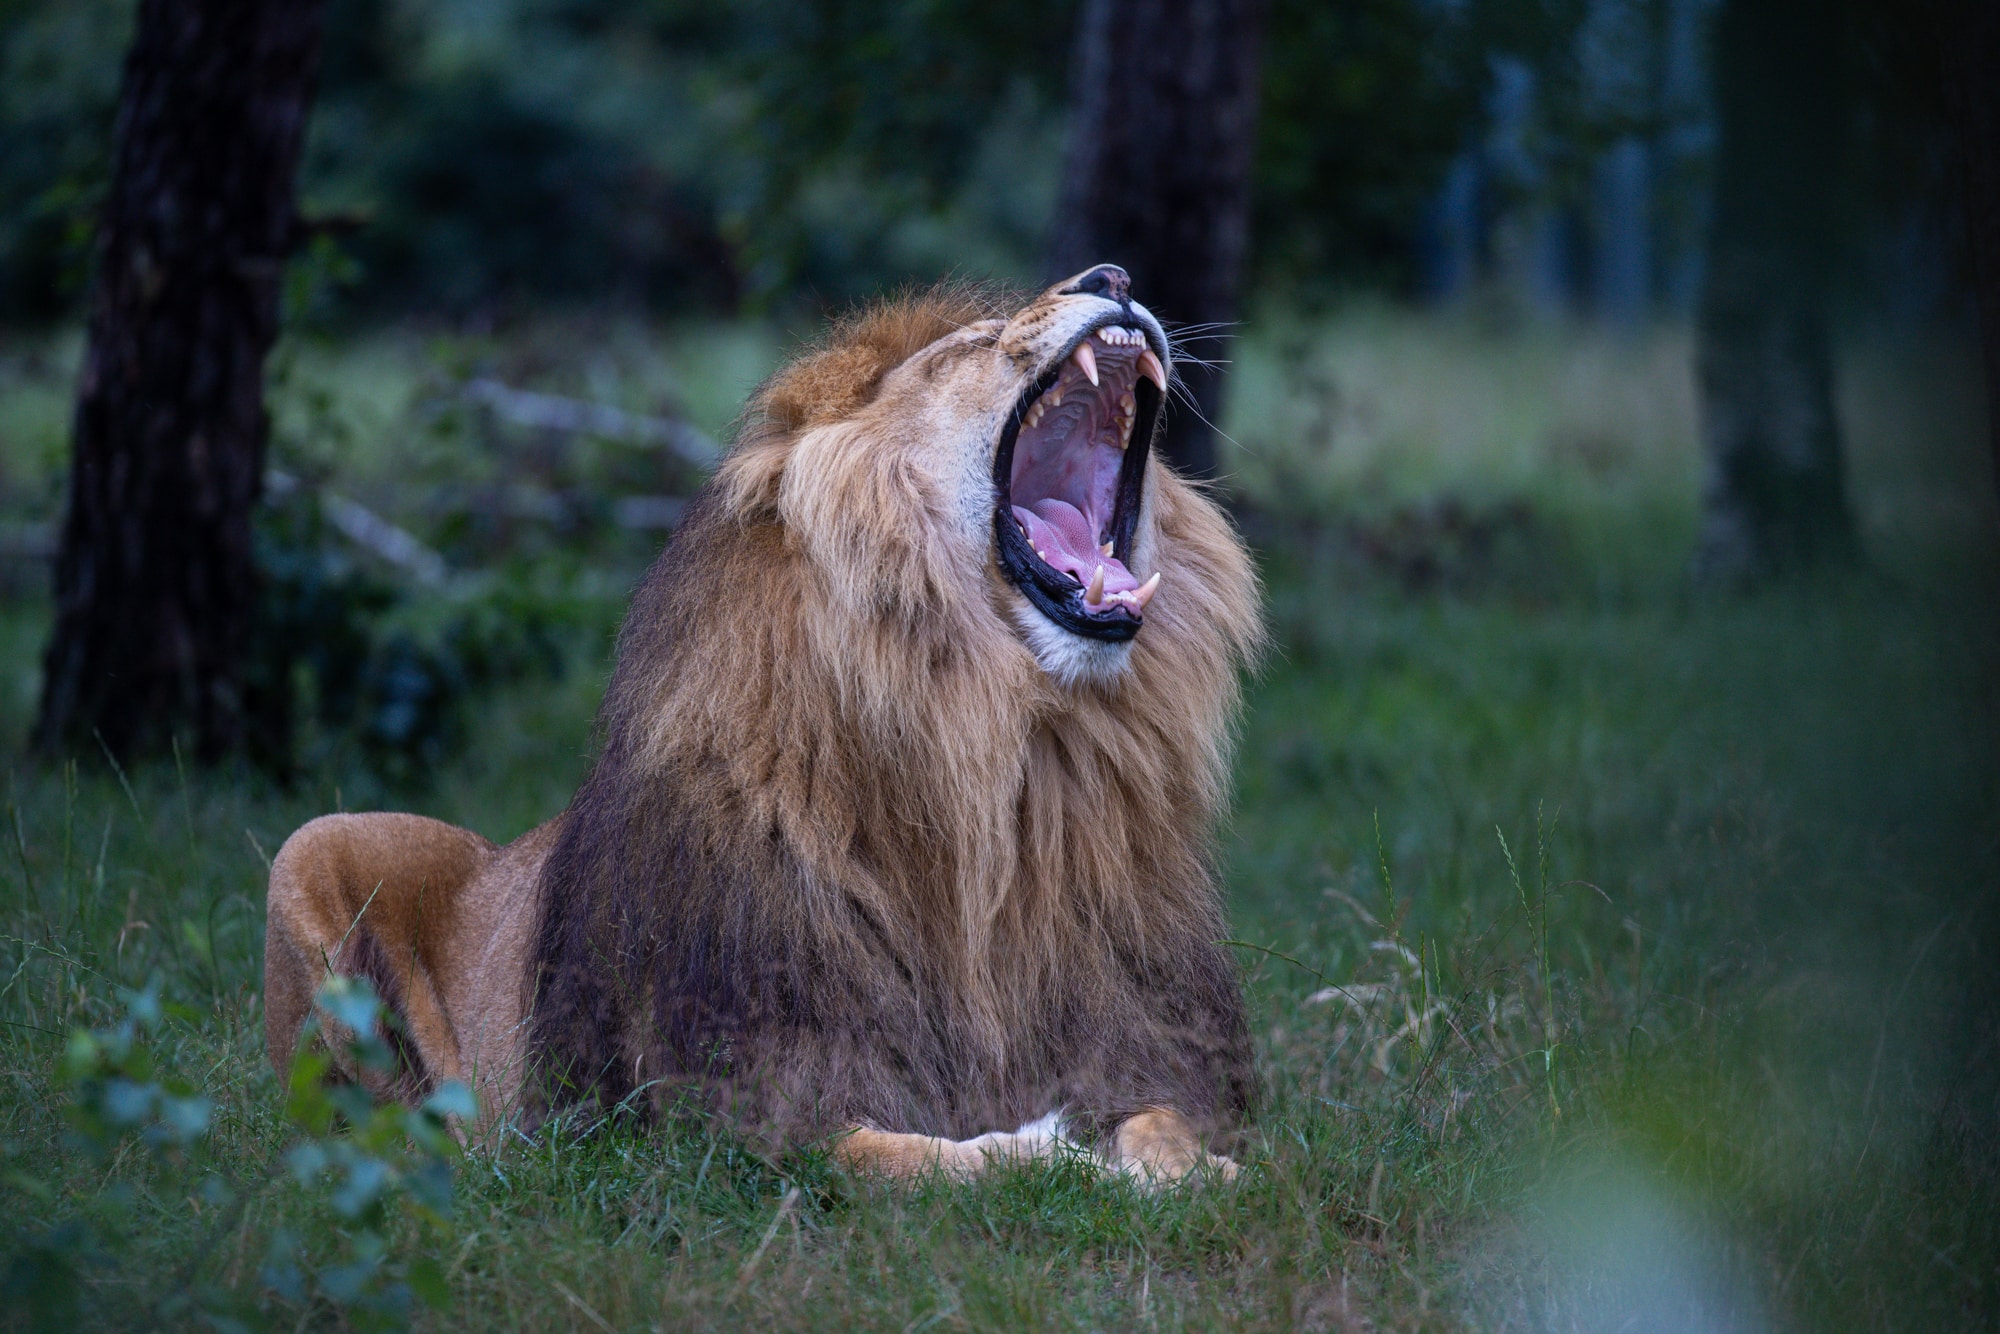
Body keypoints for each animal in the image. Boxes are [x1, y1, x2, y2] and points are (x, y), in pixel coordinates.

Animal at [266, 266, 1264, 1184]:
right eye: (972, 346)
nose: (1114, 276)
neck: (1003, 762)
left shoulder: (1140, 1038)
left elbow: (1166, 1121)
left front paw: (1192, 1168)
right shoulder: (711, 1117)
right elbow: (914, 1159)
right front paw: (1059, 1151)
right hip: (311, 850)